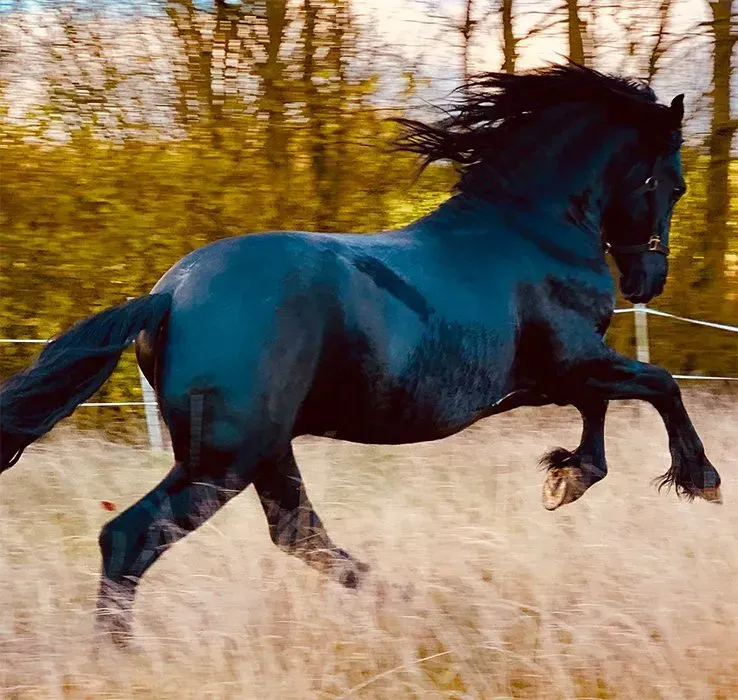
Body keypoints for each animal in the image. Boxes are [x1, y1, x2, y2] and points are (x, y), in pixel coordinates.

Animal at [0, 64, 722, 644]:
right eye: (674, 184)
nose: (647, 282)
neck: (530, 231)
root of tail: (168, 296)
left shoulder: (557, 376)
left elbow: (605, 407)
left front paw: (566, 476)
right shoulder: (571, 360)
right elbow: (659, 384)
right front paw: (700, 479)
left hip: (266, 451)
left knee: (297, 534)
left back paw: (402, 599)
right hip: (225, 460)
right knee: (132, 538)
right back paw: (121, 656)